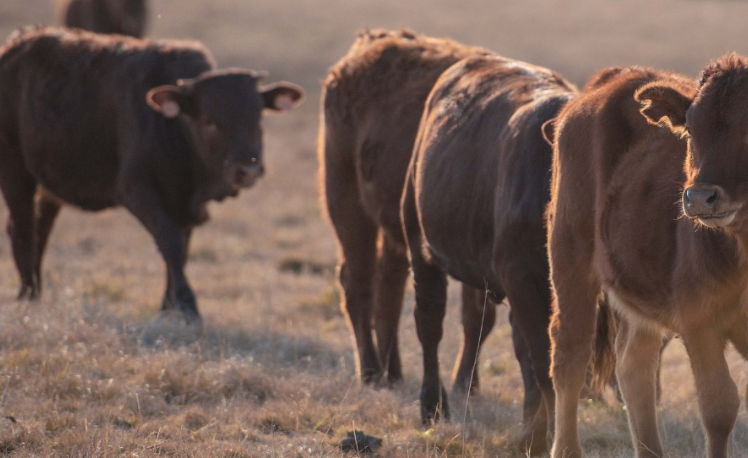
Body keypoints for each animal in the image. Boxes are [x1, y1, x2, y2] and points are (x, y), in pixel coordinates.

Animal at [0, 26, 304, 324]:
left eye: (259, 117)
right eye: (209, 121)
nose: (248, 168)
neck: (172, 128)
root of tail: (16, 44)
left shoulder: (184, 204)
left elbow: (182, 248)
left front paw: (169, 308)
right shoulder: (137, 191)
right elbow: (171, 243)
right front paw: (188, 307)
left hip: (49, 185)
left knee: (40, 228)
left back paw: (35, 293)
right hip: (15, 173)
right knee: (23, 228)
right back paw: (27, 295)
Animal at [404, 53, 580, 454]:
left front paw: (537, 431)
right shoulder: (521, 278)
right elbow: (543, 360)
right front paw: (543, 436)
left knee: (479, 324)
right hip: (420, 246)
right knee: (429, 323)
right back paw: (432, 405)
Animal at [544, 60, 748, 458]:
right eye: (691, 130)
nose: (699, 197)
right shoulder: (699, 321)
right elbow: (719, 407)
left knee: (633, 366)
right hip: (570, 262)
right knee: (570, 358)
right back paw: (567, 448)